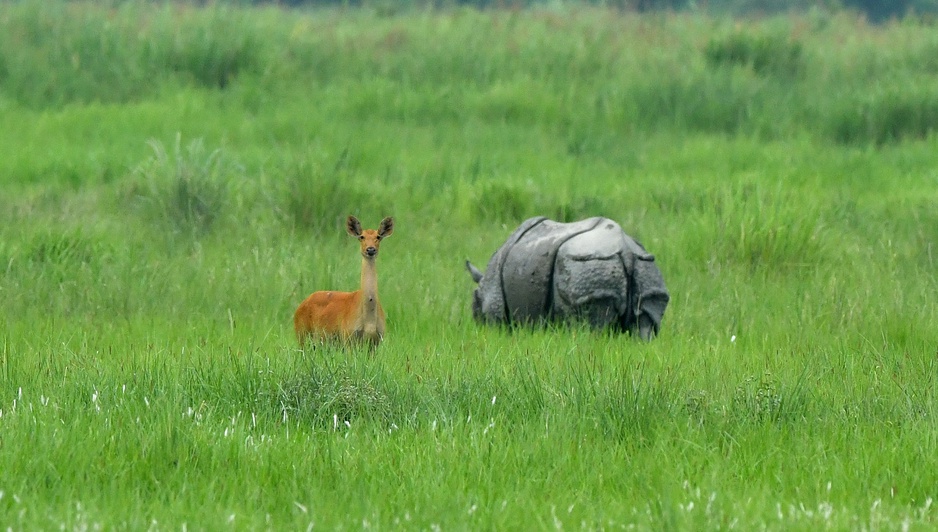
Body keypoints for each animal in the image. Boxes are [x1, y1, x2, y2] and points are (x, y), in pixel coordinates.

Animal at [294, 216, 394, 350]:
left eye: (378, 237)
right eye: (361, 237)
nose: (370, 249)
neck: (369, 320)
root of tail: (299, 307)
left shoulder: (377, 341)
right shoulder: (348, 337)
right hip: (302, 334)